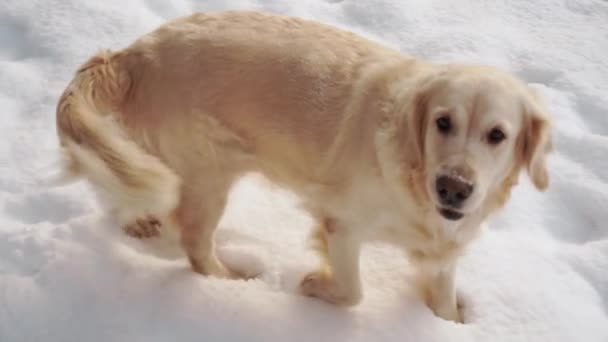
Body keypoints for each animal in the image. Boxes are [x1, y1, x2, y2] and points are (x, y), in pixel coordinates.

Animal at [55, 10, 552, 320]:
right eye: (443, 122)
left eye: (497, 135)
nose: (453, 187)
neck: (414, 180)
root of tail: (133, 55)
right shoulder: (342, 224)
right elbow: (353, 292)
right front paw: (314, 287)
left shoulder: (446, 242)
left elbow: (445, 295)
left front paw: (449, 322)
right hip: (207, 174)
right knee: (195, 245)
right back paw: (232, 281)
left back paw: (138, 222)